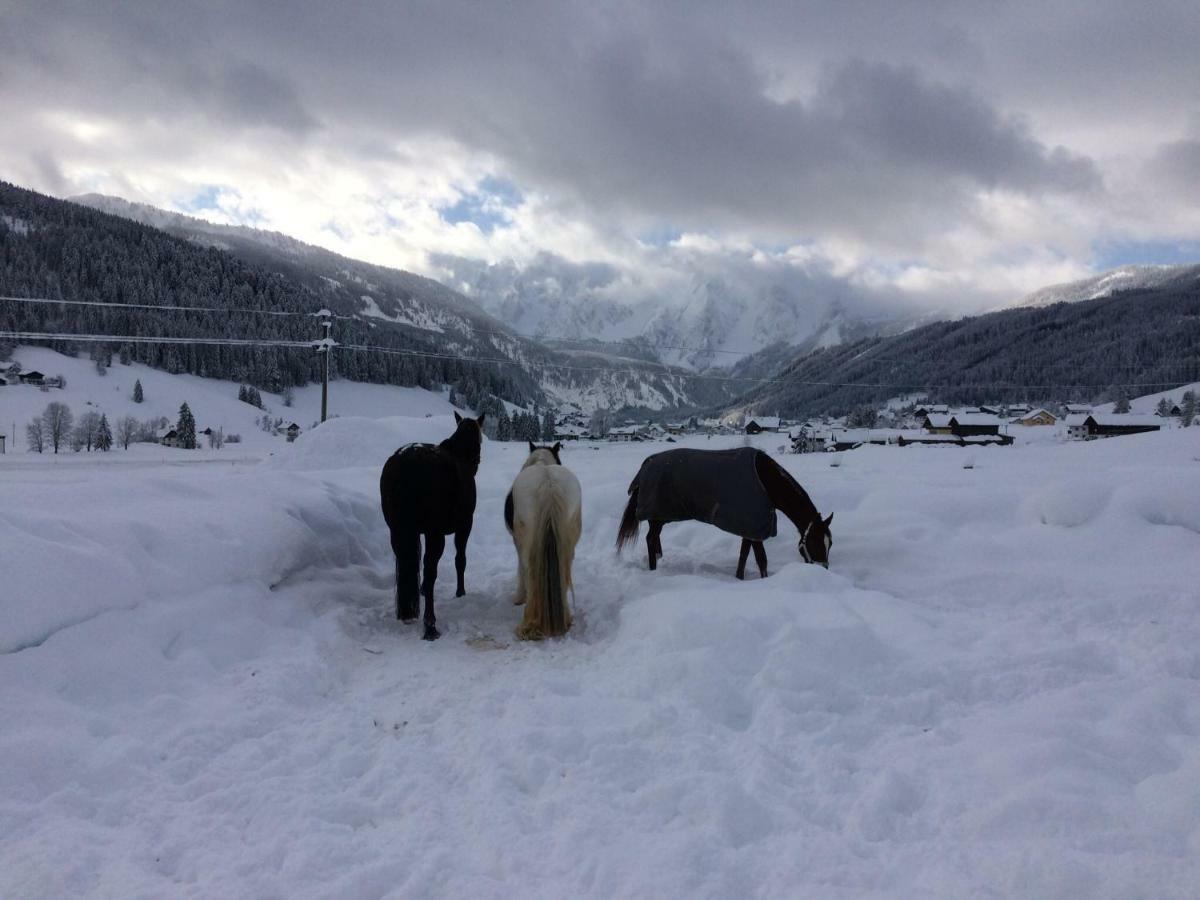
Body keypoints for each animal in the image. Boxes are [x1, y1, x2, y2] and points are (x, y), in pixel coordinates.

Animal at [379, 415, 482, 643]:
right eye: (480, 440)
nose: (478, 460)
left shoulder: (421, 532)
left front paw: (422, 589)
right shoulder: (464, 525)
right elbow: (460, 560)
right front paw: (460, 592)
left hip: (397, 532)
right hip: (437, 535)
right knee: (431, 568)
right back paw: (430, 625)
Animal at [504, 444, 583, 643]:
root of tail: (548, 483)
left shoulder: (517, 542)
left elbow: (521, 570)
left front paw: (519, 598)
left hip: (527, 544)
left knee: (529, 571)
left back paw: (531, 624)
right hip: (568, 544)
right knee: (564, 573)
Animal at [614, 448, 830, 580]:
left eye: (830, 544)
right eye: (816, 542)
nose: (823, 570)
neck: (766, 481)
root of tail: (645, 466)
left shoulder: (749, 528)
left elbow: (744, 555)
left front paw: (739, 578)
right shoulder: (753, 526)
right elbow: (761, 559)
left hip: (661, 516)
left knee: (654, 538)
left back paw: (660, 561)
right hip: (657, 514)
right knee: (651, 539)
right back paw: (654, 568)